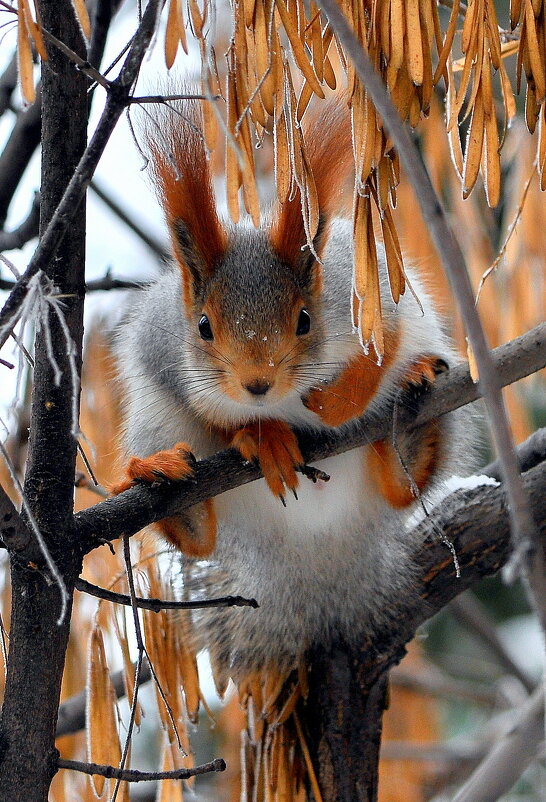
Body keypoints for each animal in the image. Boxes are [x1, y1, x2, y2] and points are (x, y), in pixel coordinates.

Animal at [112, 97, 474, 796]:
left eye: (305, 320)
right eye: (204, 327)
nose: (259, 384)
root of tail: (315, 559)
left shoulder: (371, 298)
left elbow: (381, 347)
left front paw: (336, 401)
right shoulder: (166, 359)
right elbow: (219, 419)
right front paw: (263, 435)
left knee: (401, 486)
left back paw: (411, 424)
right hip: (155, 424)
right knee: (196, 535)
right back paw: (165, 480)